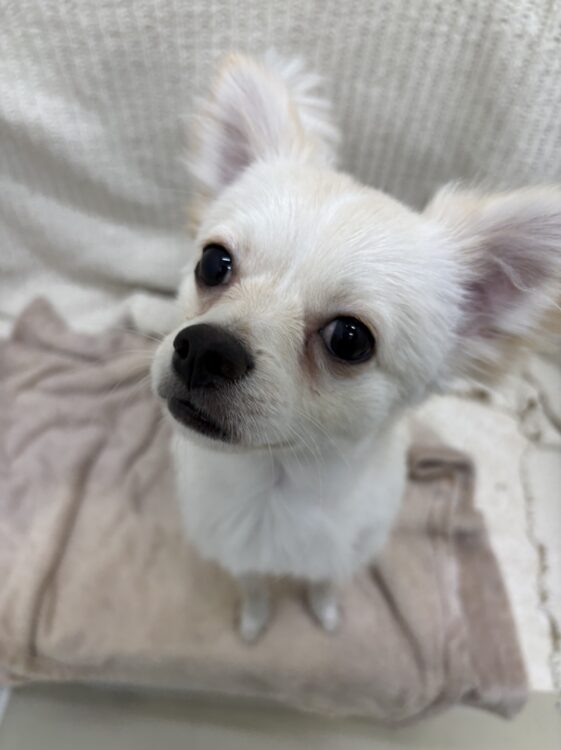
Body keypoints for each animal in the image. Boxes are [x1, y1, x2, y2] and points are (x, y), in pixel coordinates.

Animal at [144, 53, 561, 642]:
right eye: (213, 263)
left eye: (349, 338)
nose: (205, 347)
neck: (276, 486)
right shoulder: (236, 552)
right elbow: (253, 586)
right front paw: (253, 622)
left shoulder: (342, 555)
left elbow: (325, 583)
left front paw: (326, 616)